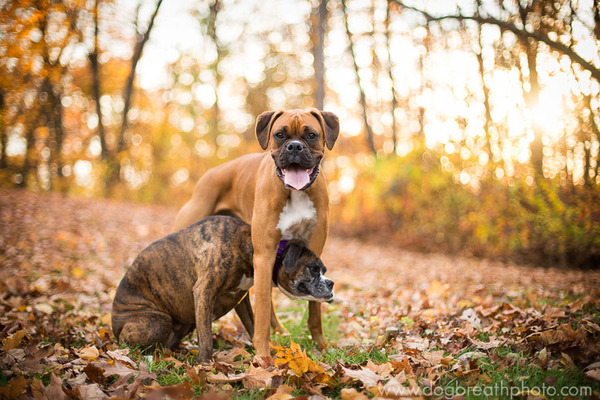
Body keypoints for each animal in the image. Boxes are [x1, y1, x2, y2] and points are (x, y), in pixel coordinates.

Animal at [110, 216, 336, 362]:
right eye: (313, 268)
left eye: (323, 270)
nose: (331, 283)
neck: (250, 246)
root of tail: (113, 327)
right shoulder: (203, 291)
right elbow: (206, 338)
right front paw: (205, 364)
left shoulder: (241, 299)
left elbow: (253, 325)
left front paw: (266, 354)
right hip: (156, 322)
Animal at [172, 108, 338, 358]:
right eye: (280, 135)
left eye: (311, 135)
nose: (295, 147)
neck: (296, 193)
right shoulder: (264, 254)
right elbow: (260, 311)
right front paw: (263, 356)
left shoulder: (313, 250)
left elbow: (314, 310)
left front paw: (321, 346)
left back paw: (280, 332)